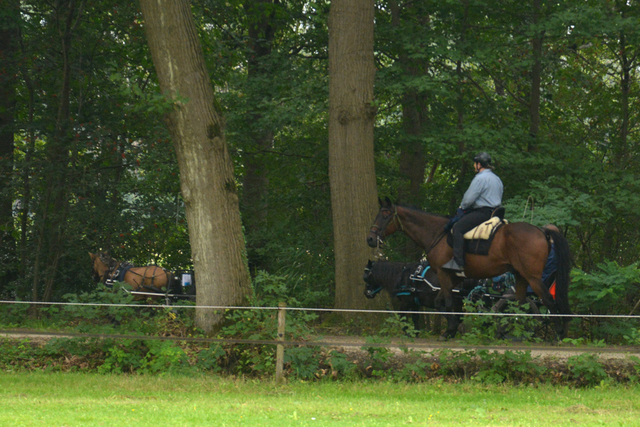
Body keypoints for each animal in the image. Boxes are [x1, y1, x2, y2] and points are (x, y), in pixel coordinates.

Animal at [368, 198, 572, 342]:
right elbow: (442, 302)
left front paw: (449, 331)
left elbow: (448, 302)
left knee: (548, 301)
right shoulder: (453, 279)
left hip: (533, 278)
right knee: (519, 307)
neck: (437, 234)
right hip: (521, 277)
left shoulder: (443, 274)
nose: (370, 238)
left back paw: (559, 333)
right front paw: (452, 329)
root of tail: (542, 231)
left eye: (385, 214)